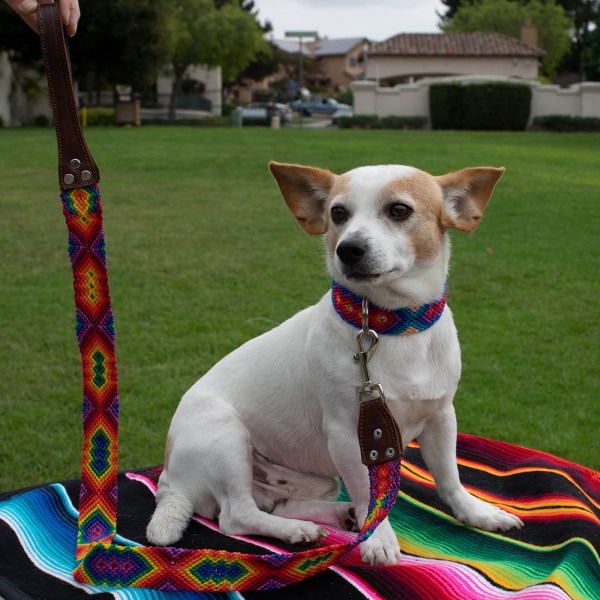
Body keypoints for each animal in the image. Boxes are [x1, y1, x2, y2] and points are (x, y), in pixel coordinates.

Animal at [148, 162, 524, 564]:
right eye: (337, 213)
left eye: (399, 210)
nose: (349, 249)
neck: (390, 326)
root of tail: (169, 481)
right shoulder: (349, 436)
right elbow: (367, 492)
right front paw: (378, 538)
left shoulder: (440, 417)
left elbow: (449, 477)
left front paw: (476, 513)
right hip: (226, 435)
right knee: (237, 515)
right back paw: (299, 529)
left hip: (310, 478)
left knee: (281, 503)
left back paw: (332, 516)